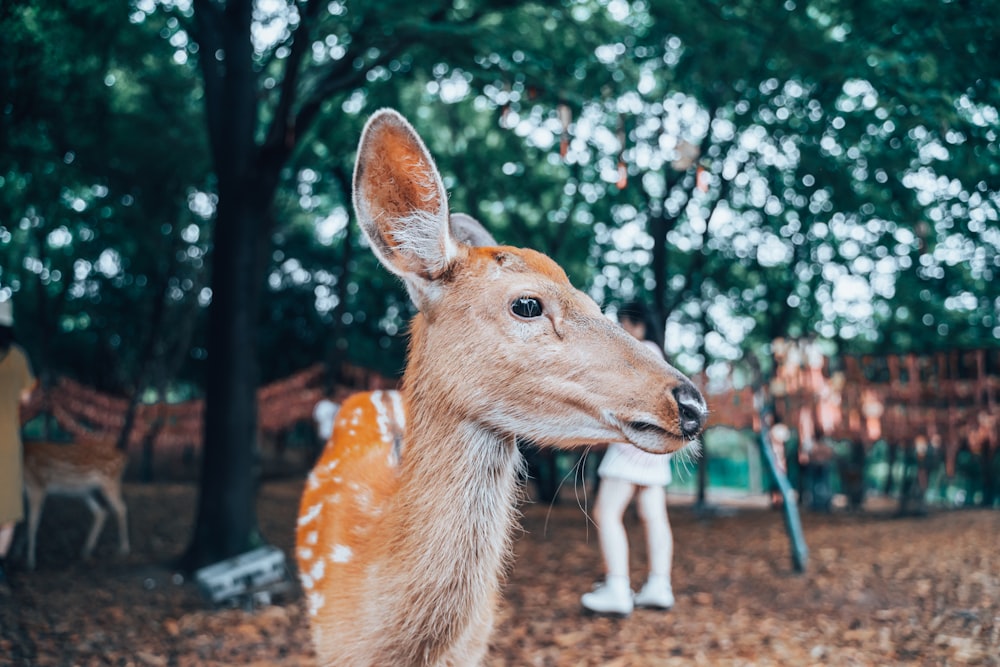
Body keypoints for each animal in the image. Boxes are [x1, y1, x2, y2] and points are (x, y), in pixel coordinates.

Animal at [23, 438, 131, 568]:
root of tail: (124, 457)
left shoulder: (37, 485)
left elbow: (32, 523)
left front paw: (30, 562)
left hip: (110, 481)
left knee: (121, 508)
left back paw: (124, 549)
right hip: (85, 491)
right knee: (101, 511)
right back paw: (86, 550)